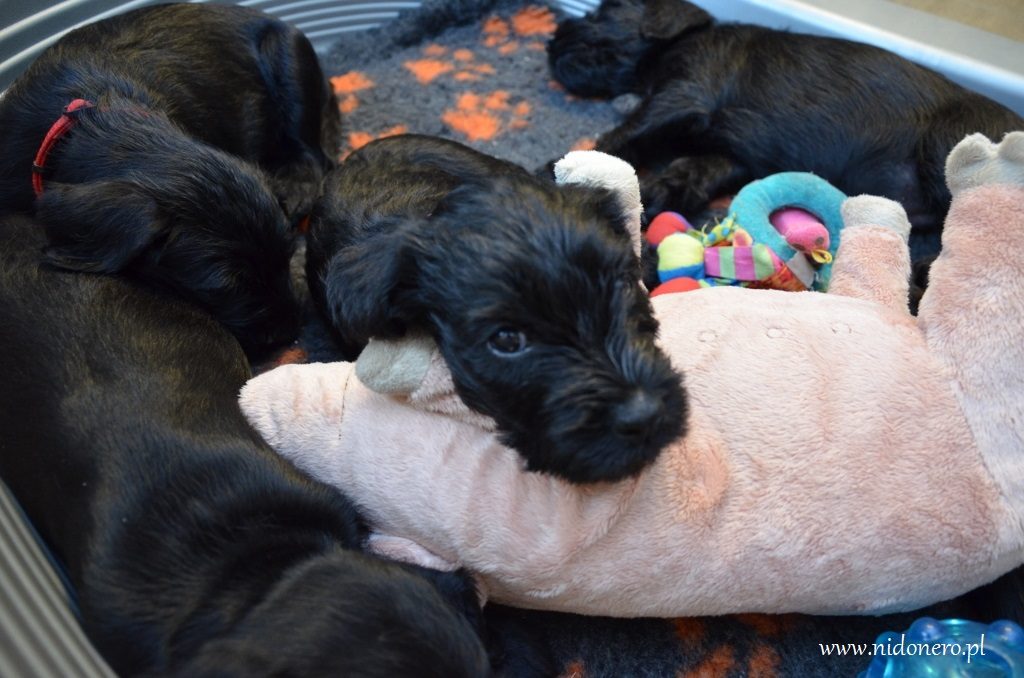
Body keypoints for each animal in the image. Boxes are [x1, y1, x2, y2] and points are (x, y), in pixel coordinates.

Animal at [0, 3, 342, 360]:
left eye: (289, 253)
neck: (105, 125)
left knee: (312, 154)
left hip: (291, 55)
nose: (290, 331)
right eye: (227, 287)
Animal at [547, 0, 1024, 233]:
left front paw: (554, 172)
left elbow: (621, 137)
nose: (552, 39)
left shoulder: (685, 94)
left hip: (949, 150)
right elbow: (689, 172)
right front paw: (653, 197)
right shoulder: (729, 156)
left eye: (597, 11)